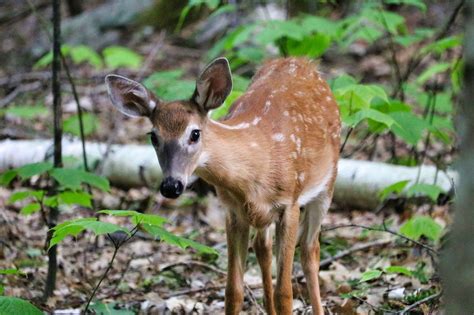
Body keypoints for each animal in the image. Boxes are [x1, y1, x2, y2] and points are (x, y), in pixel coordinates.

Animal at [105, 57, 338, 315]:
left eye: (195, 134)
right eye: (153, 137)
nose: (171, 186)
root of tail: (302, 61)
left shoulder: (290, 203)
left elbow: (284, 293)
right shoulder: (233, 211)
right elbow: (233, 291)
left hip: (327, 184)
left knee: (310, 250)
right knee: (263, 247)